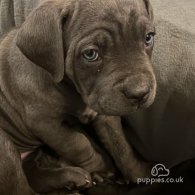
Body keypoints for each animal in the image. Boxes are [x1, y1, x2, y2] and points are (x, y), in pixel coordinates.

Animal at [0, 0, 156, 193]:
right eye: (90, 54)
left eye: (148, 37)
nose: (140, 93)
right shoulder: (45, 124)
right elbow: (78, 144)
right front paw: (101, 169)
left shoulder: (104, 110)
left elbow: (120, 144)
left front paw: (139, 173)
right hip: (5, 145)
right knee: (21, 188)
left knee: (33, 173)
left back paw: (72, 178)